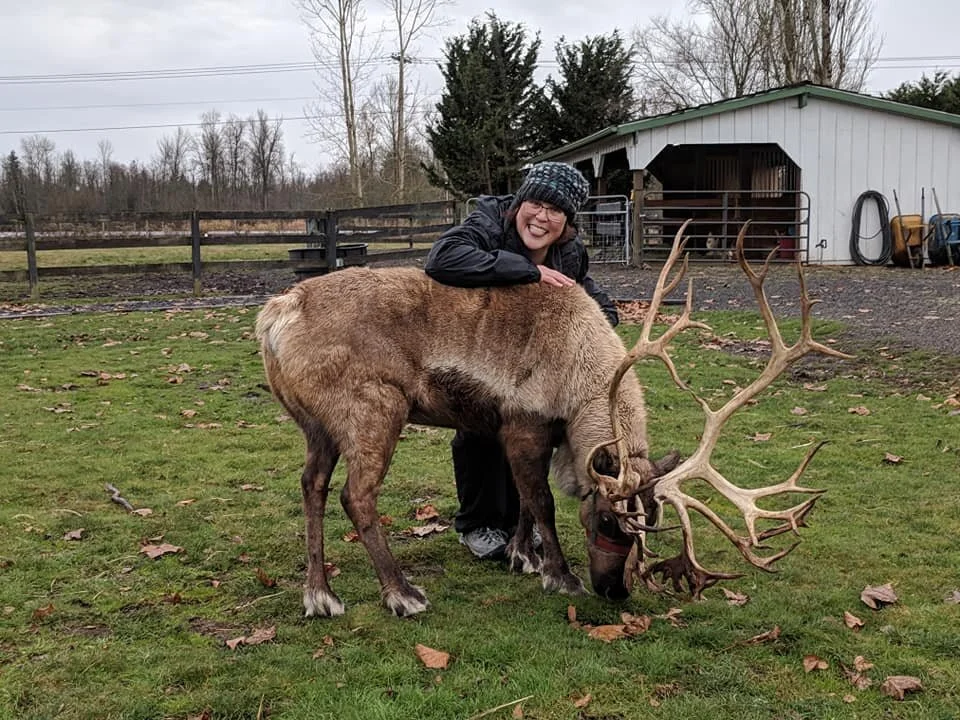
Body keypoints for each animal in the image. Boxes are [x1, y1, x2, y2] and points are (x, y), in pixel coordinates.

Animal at [254, 222, 850, 617]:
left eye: (648, 523)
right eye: (609, 521)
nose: (616, 592)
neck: (583, 376)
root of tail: (274, 314)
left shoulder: (514, 431)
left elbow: (522, 500)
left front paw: (522, 555)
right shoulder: (525, 425)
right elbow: (540, 500)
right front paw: (560, 576)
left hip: (318, 425)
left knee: (311, 485)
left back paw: (320, 594)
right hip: (375, 410)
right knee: (356, 495)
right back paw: (402, 594)